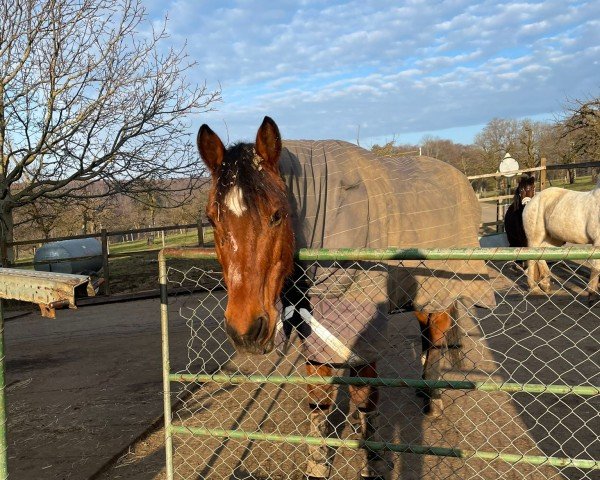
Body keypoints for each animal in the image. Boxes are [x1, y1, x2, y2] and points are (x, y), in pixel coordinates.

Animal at [197, 117, 492, 480]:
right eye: (212, 219)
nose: (246, 331)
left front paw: (375, 462)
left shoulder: (364, 333)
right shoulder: (316, 329)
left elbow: (365, 399)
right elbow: (319, 403)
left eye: (277, 214)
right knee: (425, 335)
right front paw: (317, 465)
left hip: (440, 290)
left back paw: (432, 398)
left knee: (436, 336)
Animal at [524, 178, 600, 306]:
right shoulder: (597, 242)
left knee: (541, 253)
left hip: (553, 240)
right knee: (531, 258)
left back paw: (545, 284)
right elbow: (596, 267)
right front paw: (592, 296)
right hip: (535, 237)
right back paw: (534, 288)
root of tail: (532, 201)